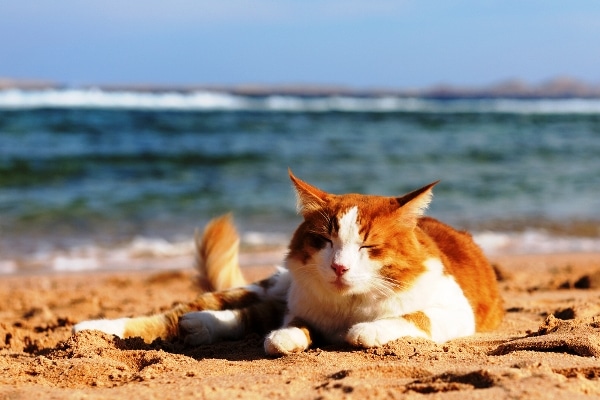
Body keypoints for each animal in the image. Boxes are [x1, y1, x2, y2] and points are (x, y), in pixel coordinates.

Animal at [72, 171, 504, 356]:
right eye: (325, 241)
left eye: (368, 247)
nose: (340, 267)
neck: (349, 305)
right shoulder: (300, 307)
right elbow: (292, 325)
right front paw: (289, 338)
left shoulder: (455, 310)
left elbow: (411, 317)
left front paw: (366, 330)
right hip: (270, 285)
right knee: (189, 312)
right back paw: (93, 330)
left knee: (247, 315)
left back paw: (204, 328)